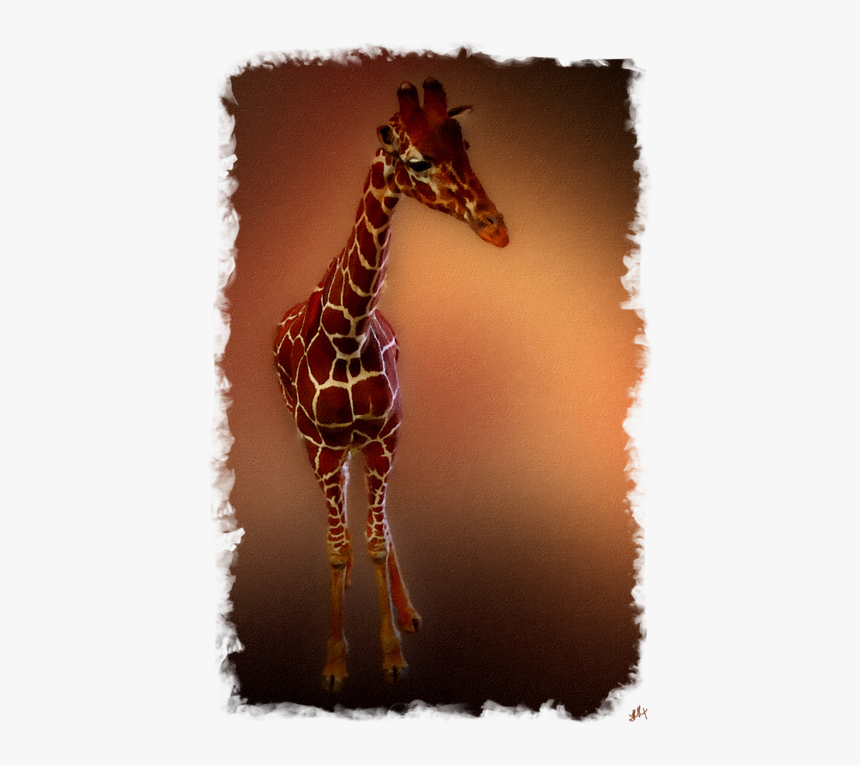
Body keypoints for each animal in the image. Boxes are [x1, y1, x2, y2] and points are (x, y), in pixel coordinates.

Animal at [274, 77, 508, 691]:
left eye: (465, 145)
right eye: (417, 160)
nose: (497, 229)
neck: (347, 332)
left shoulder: (384, 436)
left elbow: (379, 539)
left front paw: (393, 652)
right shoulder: (324, 444)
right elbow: (336, 548)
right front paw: (335, 663)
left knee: (379, 521)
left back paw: (405, 609)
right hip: (315, 442)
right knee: (339, 524)